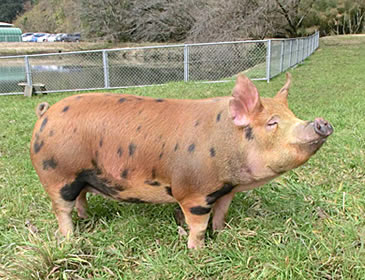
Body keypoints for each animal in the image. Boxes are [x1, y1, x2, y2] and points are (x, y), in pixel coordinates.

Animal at [30, 73, 332, 248]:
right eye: (272, 123)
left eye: (293, 115)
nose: (321, 122)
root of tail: (45, 114)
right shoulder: (194, 193)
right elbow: (197, 226)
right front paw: (198, 251)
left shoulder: (225, 191)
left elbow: (221, 214)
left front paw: (222, 233)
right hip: (57, 175)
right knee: (62, 210)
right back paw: (70, 238)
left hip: (78, 177)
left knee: (80, 199)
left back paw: (87, 219)